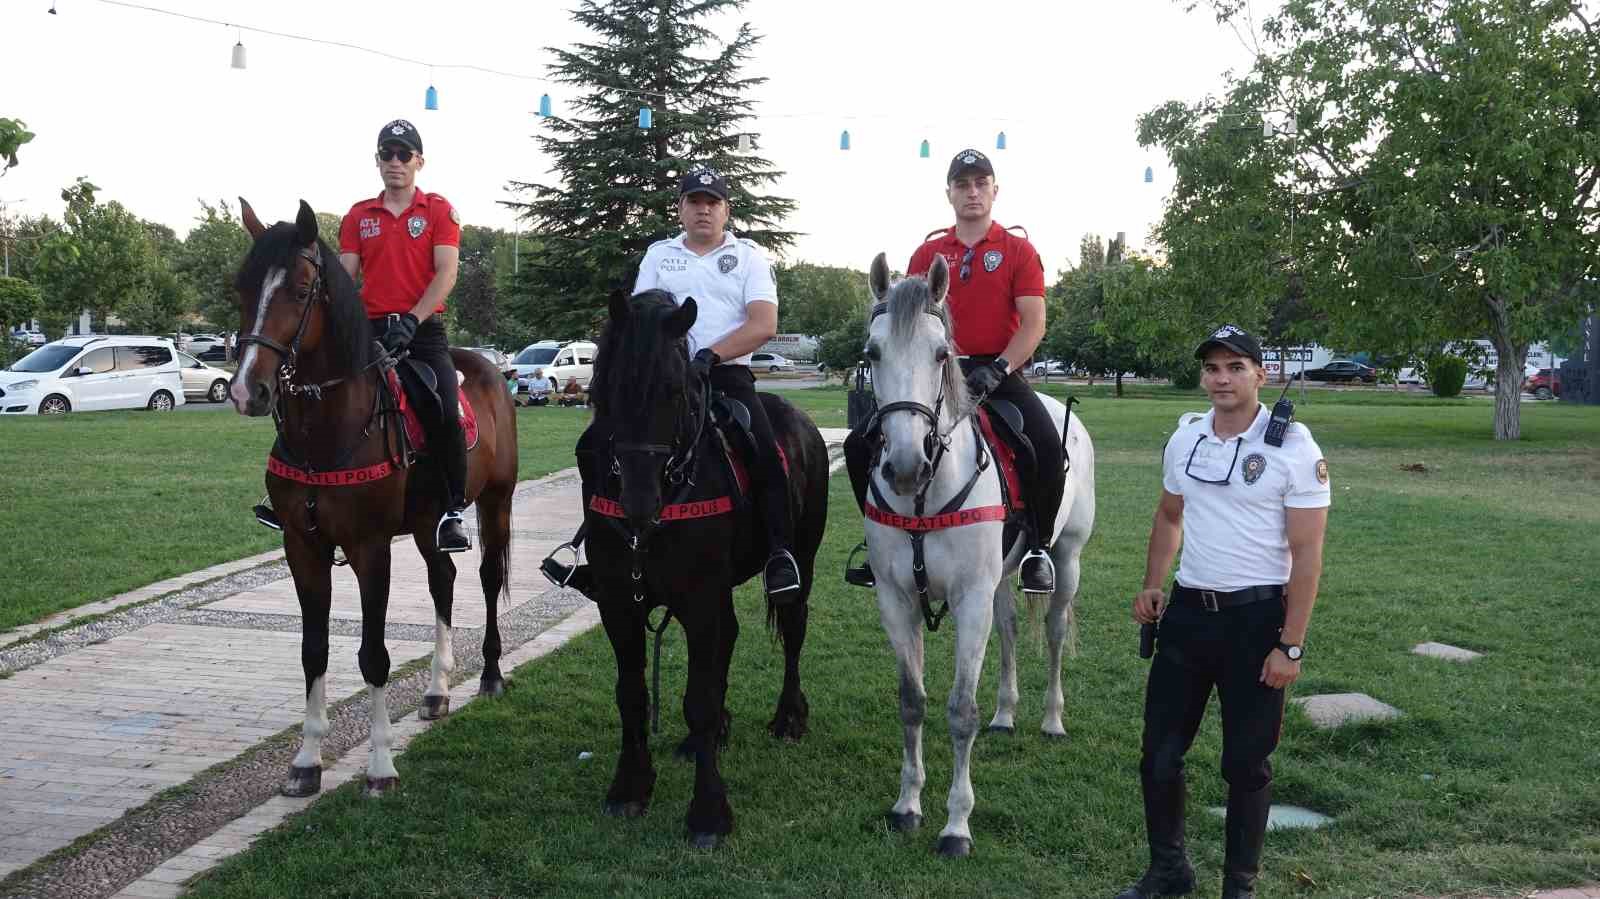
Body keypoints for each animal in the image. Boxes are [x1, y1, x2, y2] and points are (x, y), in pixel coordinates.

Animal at [232, 199, 515, 793]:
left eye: (300, 289)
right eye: (242, 287)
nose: (248, 391)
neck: (326, 432)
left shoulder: (370, 548)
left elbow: (374, 656)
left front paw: (381, 763)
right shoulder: (303, 547)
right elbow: (314, 650)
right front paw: (306, 760)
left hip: (496, 501)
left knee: (484, 578)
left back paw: (491, 673)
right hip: (429, 523)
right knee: (442, 579)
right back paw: (436, 690)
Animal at [582, 287, 825, 844]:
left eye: (676, 391)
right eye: (605, 388)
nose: (639, 503)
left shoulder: (699, 600)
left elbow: (699, 699)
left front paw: (709, 813)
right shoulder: (618, 603)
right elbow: (632, 694)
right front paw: (630, 787)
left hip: (800, 561)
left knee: (794, 629)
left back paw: (788, 718)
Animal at [864, 252, 1100, 851]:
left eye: (940, 354)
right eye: (872, 353)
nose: (905, 466)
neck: (925, 497)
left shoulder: (969, 599)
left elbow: (960, 710)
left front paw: (956, 824)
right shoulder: (897, 600)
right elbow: (912, 701)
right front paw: (907, 803)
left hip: (1066, 560)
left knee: (1054, 631)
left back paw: (1051, 720)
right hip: (998, 580)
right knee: (1012, 628)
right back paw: (1006, 713)